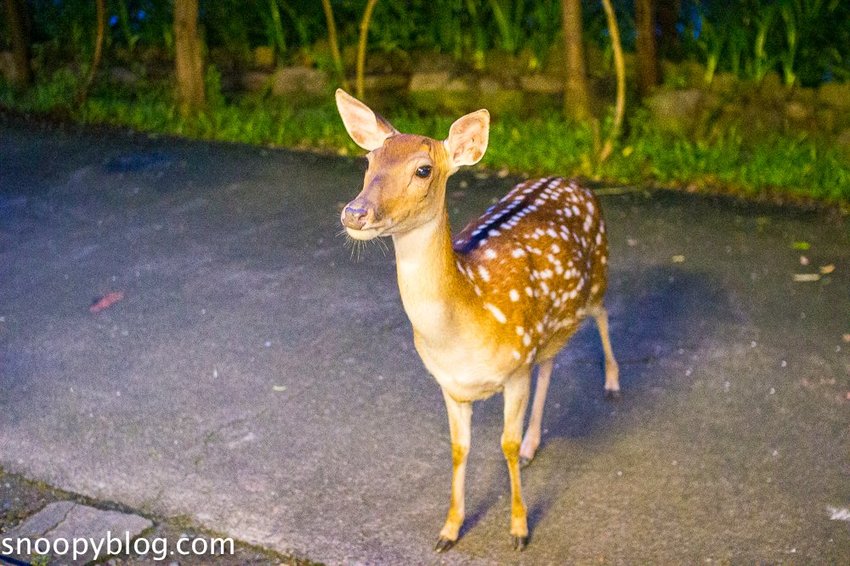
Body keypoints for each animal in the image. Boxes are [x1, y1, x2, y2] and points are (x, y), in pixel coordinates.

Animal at [335, 89, 620, 552]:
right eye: (368, 160)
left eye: (423, 169)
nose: (355, 213)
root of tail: (573, 180)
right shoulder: (450, 385)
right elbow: (458, 449)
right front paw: (449, 530)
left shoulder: (515, 367)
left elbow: (505, 445)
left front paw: (519, 530)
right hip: (547, 327)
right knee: (551, 360)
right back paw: (535, 443)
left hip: (596, 275)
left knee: (604, 313)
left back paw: (612, 382)